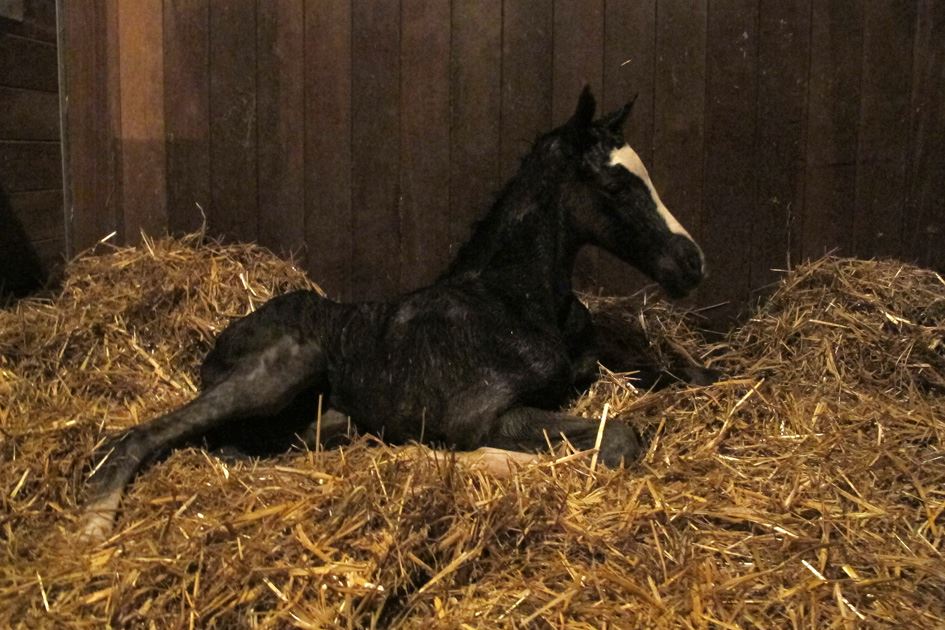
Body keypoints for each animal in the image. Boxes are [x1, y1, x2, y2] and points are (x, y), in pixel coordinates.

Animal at [81, 89, 704, 544]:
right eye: (615, 183)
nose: (692, 262)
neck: (517, 300)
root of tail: (218, 344)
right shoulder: (482, 415)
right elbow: (619, 437)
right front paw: (479, 461)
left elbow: (663, 374)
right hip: (287, 365)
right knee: (142, 436)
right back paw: (92, 525)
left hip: (324, 417)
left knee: (247, 449)